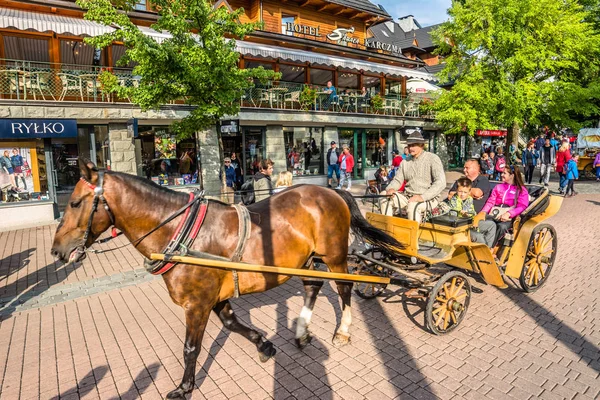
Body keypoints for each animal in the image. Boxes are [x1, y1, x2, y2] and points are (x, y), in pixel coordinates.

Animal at [51, 159, 404, 396]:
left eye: (75, 202)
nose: (57, 250)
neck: (181, 233)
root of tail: (332, 191)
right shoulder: (215, 297)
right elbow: (233, 324)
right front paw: (264, 345)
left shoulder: (197, 303)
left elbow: (190, 348)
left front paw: (185, 386)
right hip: (308, 259)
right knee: (313, 286)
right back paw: (302, 331)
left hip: (335, 256)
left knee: (344, 287)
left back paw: (342, 331)